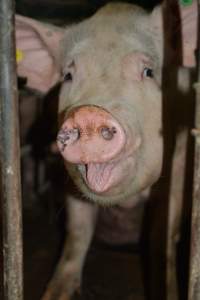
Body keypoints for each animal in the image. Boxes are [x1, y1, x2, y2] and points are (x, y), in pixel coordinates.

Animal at [15, 2, 197, 300]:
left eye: (148, 71)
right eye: (68, 75)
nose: (89, 114)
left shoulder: (181, 158)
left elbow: (165, 234)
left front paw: (168, 290)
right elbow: (78, 231)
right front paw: (55, 293)